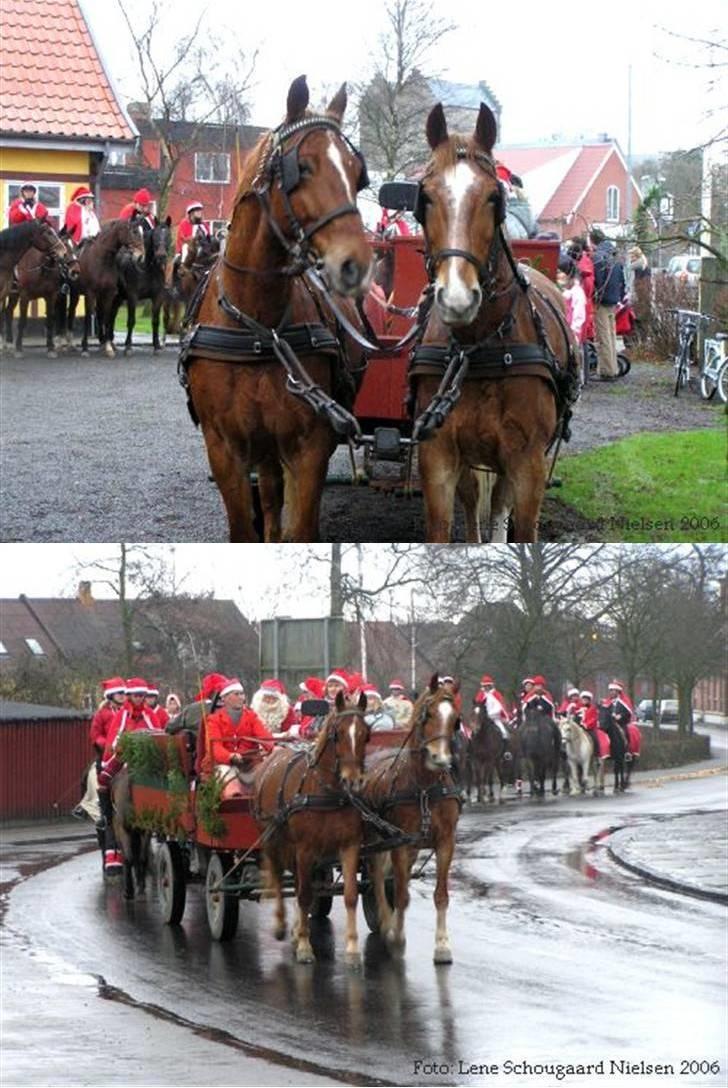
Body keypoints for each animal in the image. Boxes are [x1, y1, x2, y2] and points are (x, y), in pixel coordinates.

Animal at [181, 74, 374, 541]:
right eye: (301, 167)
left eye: (357, 175)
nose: (355, 265)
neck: (259, 328)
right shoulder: (225, 448)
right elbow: (245, 529)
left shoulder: (310, 445)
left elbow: (299, 530)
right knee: (268, 495)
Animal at [252, 691, 372, 966]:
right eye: (338, 733)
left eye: (366, 734)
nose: (353, 780)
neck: (327, 792)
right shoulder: (305, 848)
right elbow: (305, 895)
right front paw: (306, 947)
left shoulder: (350, 846)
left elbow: (350, 894)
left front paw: (352, 949)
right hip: (273, 839)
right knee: (278, 876)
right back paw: (282, 925)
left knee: (296, 883)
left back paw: (297, 928)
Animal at [363, 674, 459, 966]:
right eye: (428, 714)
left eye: (456, 719)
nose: (441, 759)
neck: (424, 788)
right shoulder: (400, 843)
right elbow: (402, 895)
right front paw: (396, 938)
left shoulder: (445, 841)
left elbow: (441, 895)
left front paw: (442, 946)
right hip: (376, 840)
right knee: (376, 877)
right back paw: (386, 923)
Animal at [409, 102, 578, 544]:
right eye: (425, 197)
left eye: (492, 196)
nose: (456, 298)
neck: (476, 348)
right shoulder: (438, 457)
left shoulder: (528, 463)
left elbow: (521, 525)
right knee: (473, 498)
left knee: (500, 501)